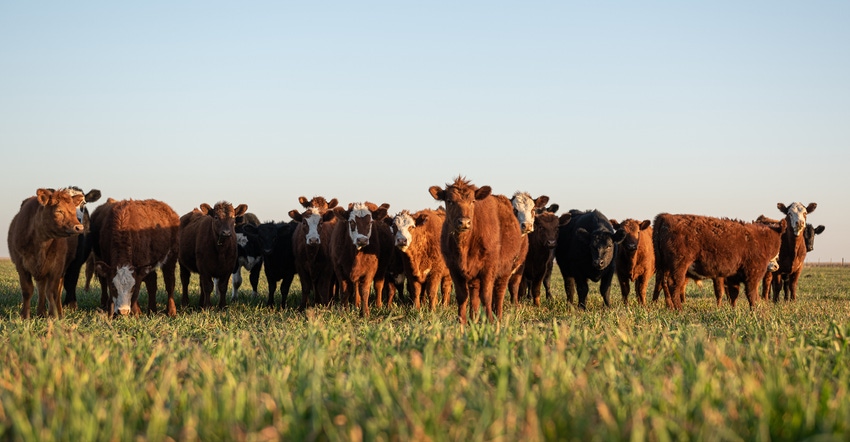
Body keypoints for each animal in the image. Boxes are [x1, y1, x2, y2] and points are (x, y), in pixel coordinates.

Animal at [7, 188, 85, 320]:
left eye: (74, 211)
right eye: (59, 211)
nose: (79, 227)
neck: (41, 241)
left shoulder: (57, 266)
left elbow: (52, 292)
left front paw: (53, 315)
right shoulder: (20, 264)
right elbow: (27, 290)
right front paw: (25, 316)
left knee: (55, 291)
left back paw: (57, 312)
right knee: (41, 288)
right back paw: (40, 313)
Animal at [428, 176, 528, 324]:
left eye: (473, 201)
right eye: (449, 201)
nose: (464, 222)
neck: (464, 245)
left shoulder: (488, 268)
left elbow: (486, 296)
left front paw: (490, 321)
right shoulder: (454, 269)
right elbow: (462, 296)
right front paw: (462, 321)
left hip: (505, 269)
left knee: (499, 292)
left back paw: (498, 317)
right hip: (474, 276)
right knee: (474, 294)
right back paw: (473, 318)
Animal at [652, 213, 784, 310]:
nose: (776, 265)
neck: (760, 239)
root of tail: (666, 216)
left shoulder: (732, 277)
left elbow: (733, 295)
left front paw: (733, 310)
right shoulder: (752, 275)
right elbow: (752, 295)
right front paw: (755, 311)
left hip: (664, 267)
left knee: (663, 283)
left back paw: (669, 307)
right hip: (679, 265)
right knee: (673, 284)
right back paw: (679, 309)